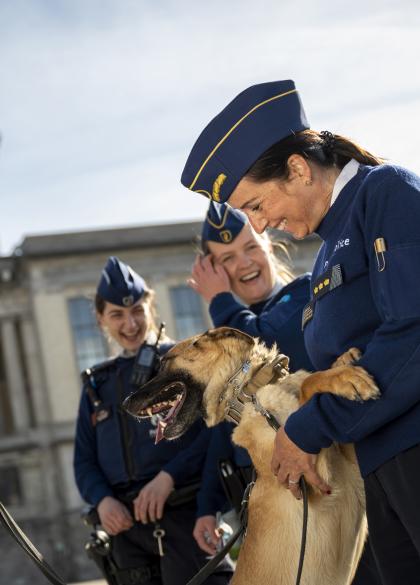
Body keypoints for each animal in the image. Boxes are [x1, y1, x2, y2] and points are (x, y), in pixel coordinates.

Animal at [124, 326, 378, 580]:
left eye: (164, 363)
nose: (125, 403)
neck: (250, 396)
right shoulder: (308, 478)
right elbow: (308, 386)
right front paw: (345, 377)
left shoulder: (351, 464)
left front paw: (343, 361)